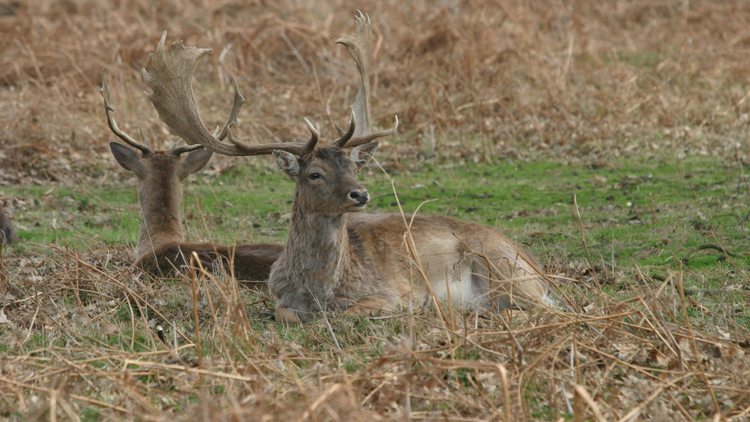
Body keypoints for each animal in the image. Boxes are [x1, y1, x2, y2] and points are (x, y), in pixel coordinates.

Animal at [142, 14, 552, 324]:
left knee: (535, 309)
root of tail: (538, 267)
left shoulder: (393, 292)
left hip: (500, 266)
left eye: (354, 168)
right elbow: (287, 315)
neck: (321, 289)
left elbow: (350, 312)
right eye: (315, 174)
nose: (361, 194)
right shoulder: (280, 299)